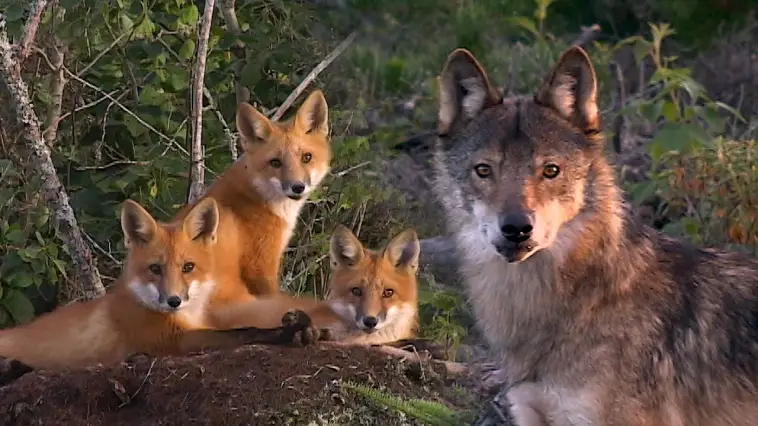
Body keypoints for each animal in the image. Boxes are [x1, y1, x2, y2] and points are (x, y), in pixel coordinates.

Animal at [0, 198, 321, 372]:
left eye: (188, 267)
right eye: (155, 269)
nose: (173, 300)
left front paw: (309, 328)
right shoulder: (172, 341)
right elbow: (245, 332)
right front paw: (286, 332)